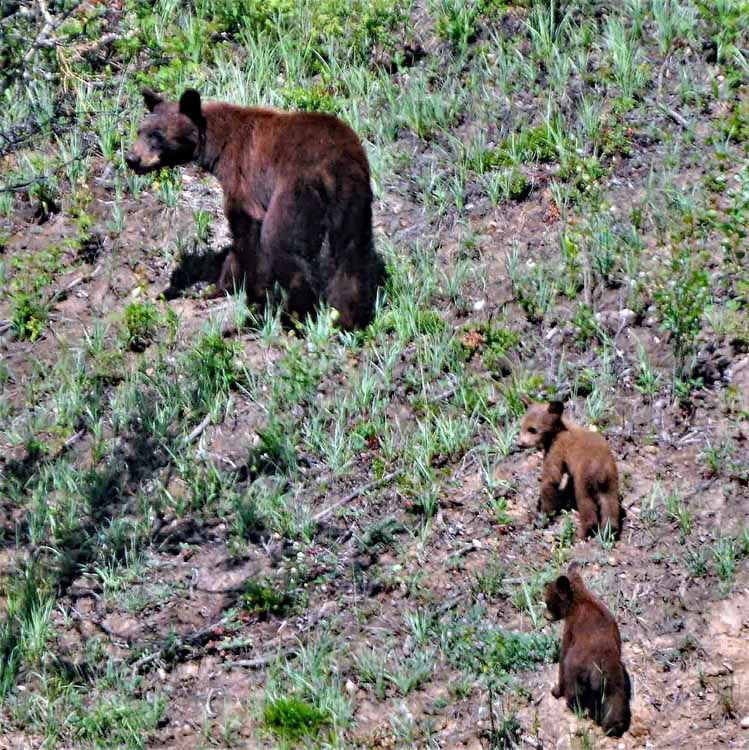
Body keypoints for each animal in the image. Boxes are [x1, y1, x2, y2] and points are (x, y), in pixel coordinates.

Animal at [125, 88, 384, 330]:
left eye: (157, 135)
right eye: (140, 130)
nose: (131, 159)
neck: (219, 144)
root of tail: (335, 164)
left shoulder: (242, 177)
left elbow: (245, 234)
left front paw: (241, 293)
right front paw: (214, 287)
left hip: (295, 190)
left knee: (281, 242)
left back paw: (294, 316)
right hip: (354, 200)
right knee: (352, 253)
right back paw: (349, 318)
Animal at [518, 397, 620, 540]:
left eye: (532, 429)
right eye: (521, 426)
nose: (519, 444)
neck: (558, 431)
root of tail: (601, 469)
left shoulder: (556, 450)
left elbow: (551, 479)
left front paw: (543, 515)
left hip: (584, 479)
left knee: (586, 503)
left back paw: (582, 533)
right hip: (611, 480)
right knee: (610, 504)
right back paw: (609, 531)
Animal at [544, 566, 632, 737]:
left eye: (548, 603)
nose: (545, 616)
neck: (578, 600)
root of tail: (598, 668)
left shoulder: (571, 629)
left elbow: (562, 657)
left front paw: (555, 690)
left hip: (577, 668)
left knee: (573, 686)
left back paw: (574, 706)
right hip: (613, 677)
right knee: (615, 698)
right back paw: (613, 726)